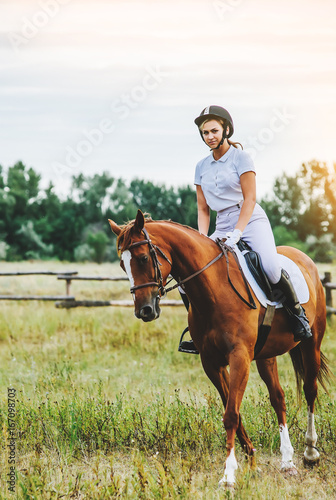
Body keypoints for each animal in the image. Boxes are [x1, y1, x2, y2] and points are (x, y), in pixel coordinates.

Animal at [108, 209, 330, 486]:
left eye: (143, 257)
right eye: (122, 264)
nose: (144, 311)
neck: (213, 290)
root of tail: (304, 259)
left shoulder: (239, 357)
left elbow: (231, 414)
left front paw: (228, 475)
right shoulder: (211, 363)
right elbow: (233, 410)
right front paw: (251, 460)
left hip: (312, 343)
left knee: (310, 391)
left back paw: (310, 452)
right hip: (266, 356)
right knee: (278, 398)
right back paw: (287, 461)